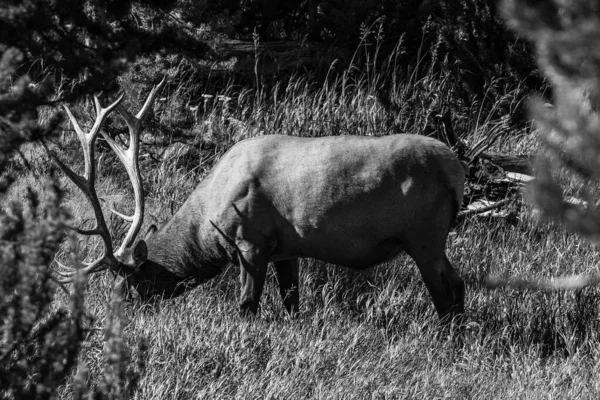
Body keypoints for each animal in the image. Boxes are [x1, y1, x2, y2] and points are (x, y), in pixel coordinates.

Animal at [49, 78, 466, 320]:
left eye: (130, 288)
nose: (111, 320)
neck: (209, 223)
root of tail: (457, 171)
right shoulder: (287, 249)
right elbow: (292, 304)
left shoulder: (251, 240)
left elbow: (246, 308)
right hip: (433, 239)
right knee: (459, 286)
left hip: (424, 235)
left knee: (445, 297)